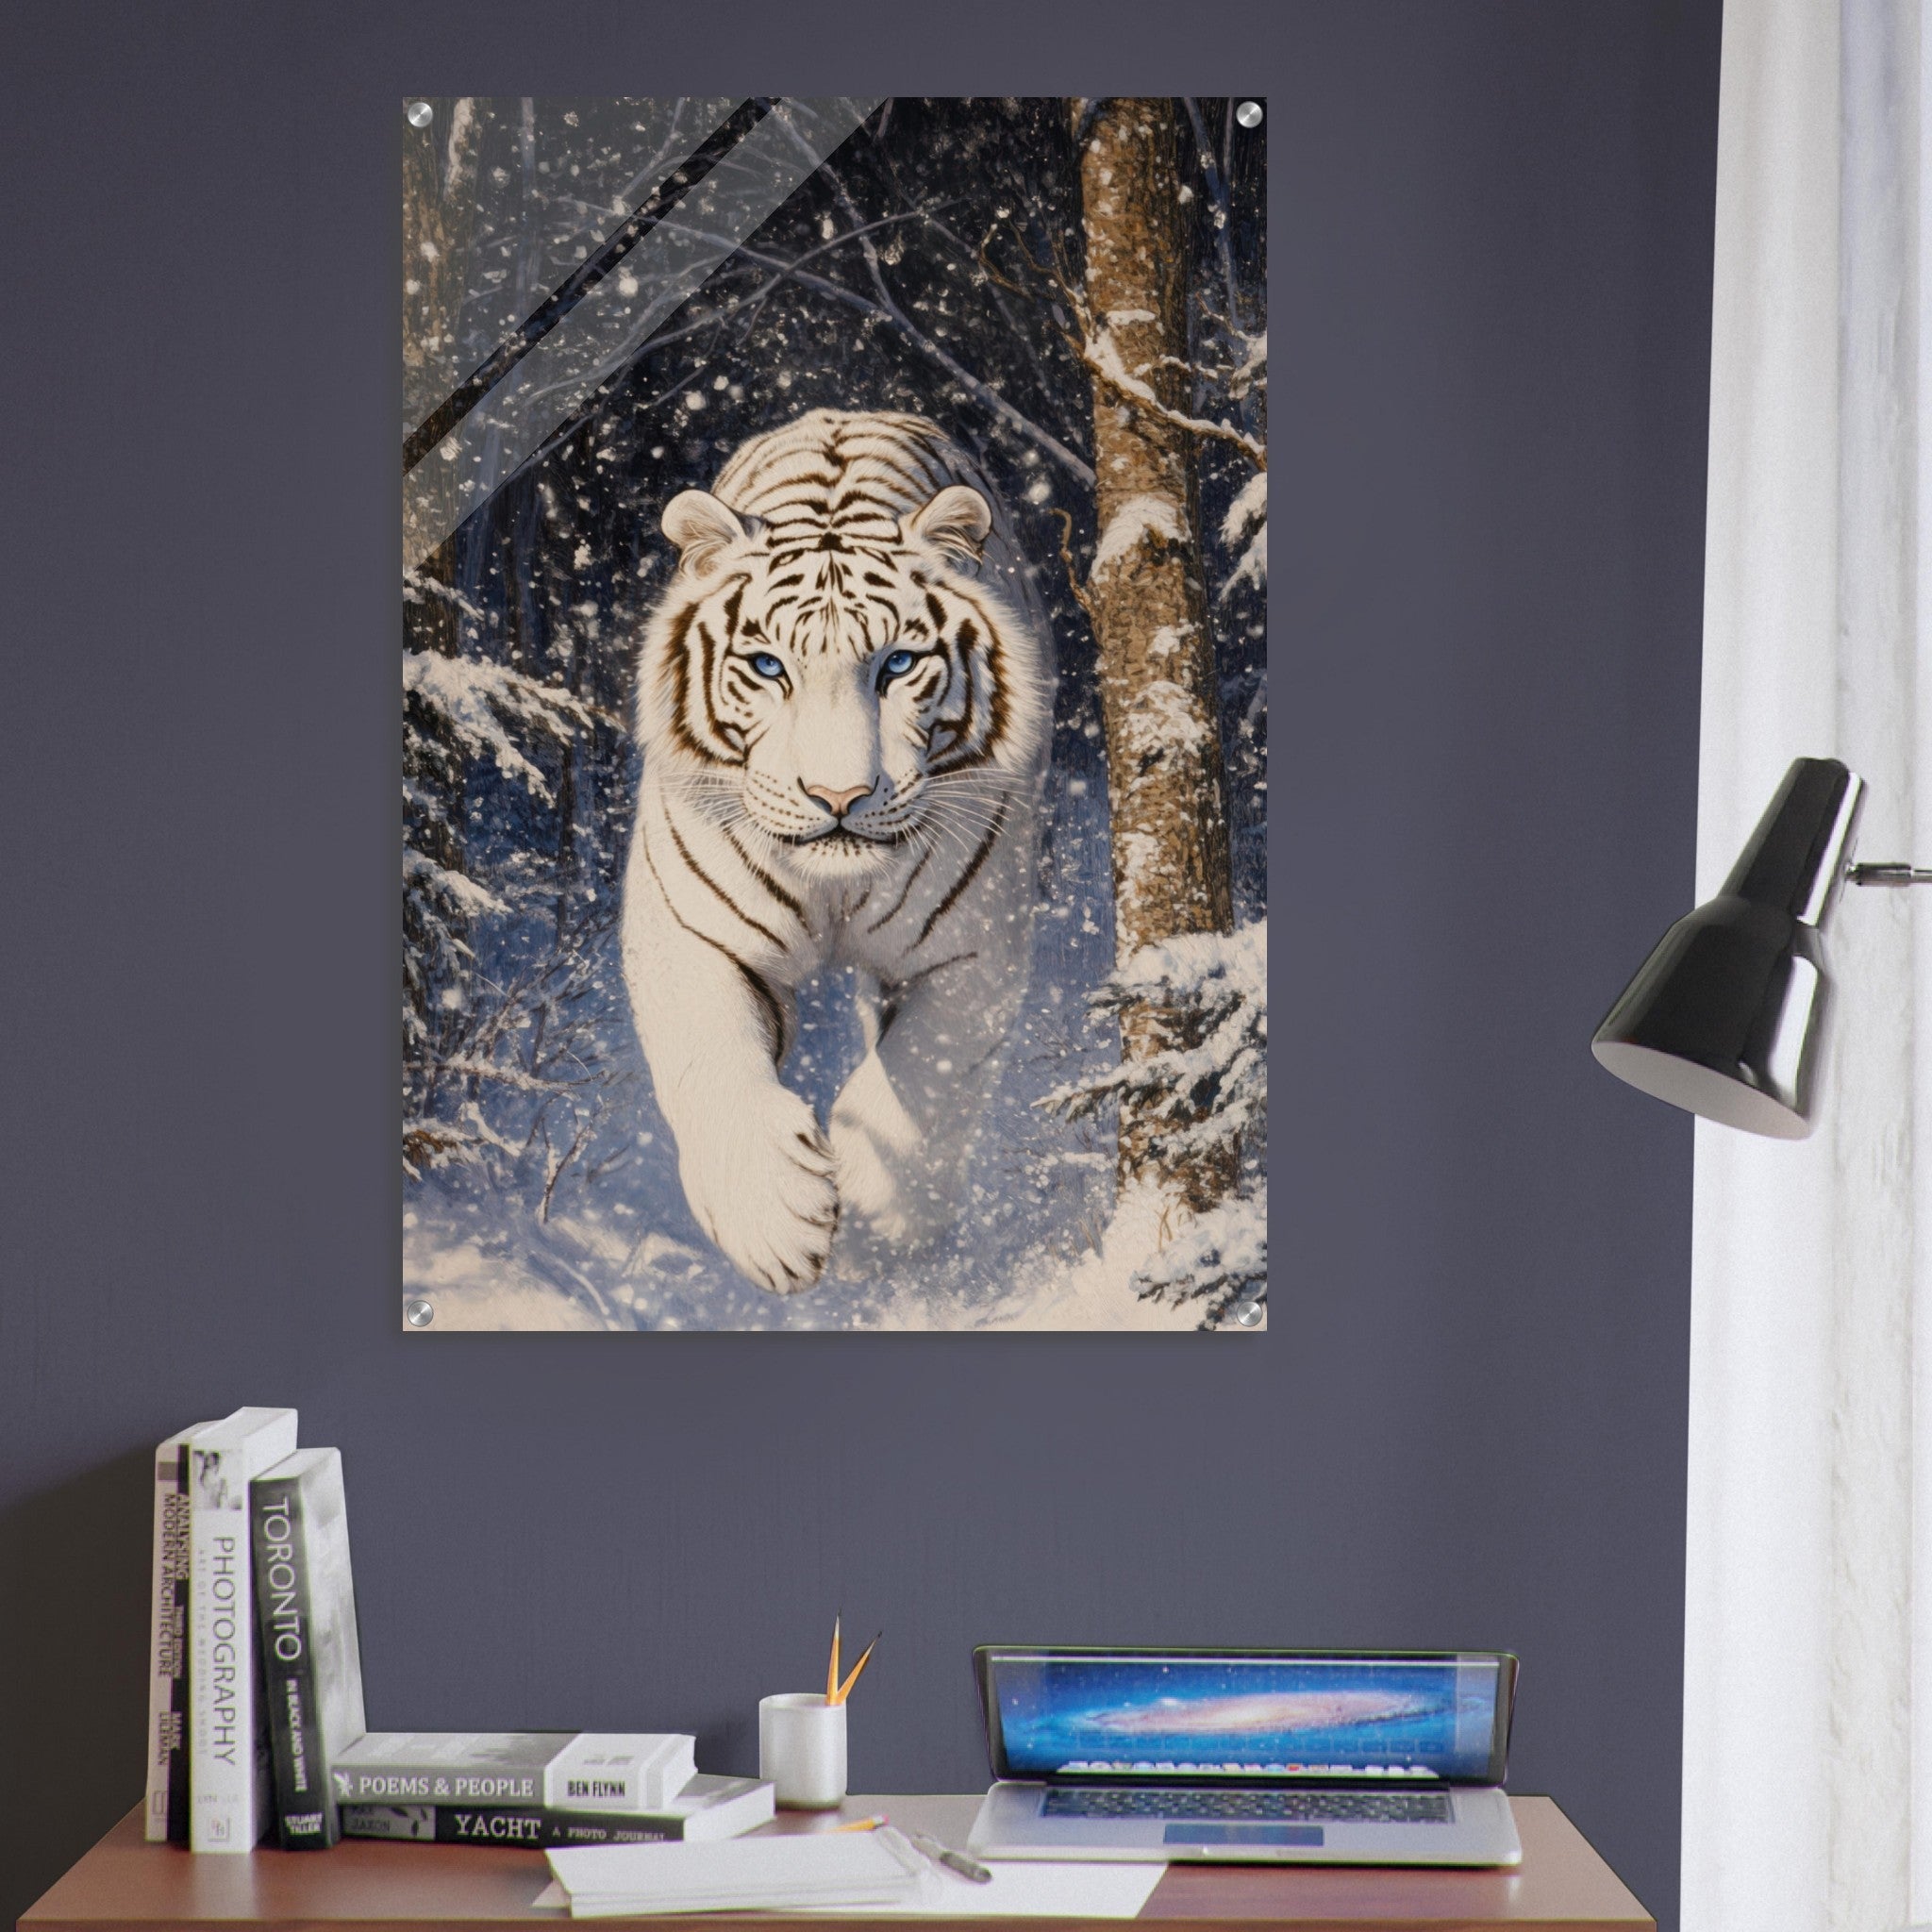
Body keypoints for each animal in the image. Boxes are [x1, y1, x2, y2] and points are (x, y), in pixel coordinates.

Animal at [620, 409, 1054, 1293]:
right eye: (766, 666)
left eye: (899, 663)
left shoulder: (971, 948)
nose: (838, 798)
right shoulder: (688, 932)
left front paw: (877, 1229)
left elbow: (922, 1079)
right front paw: (773, 1221)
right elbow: (710, 1059)